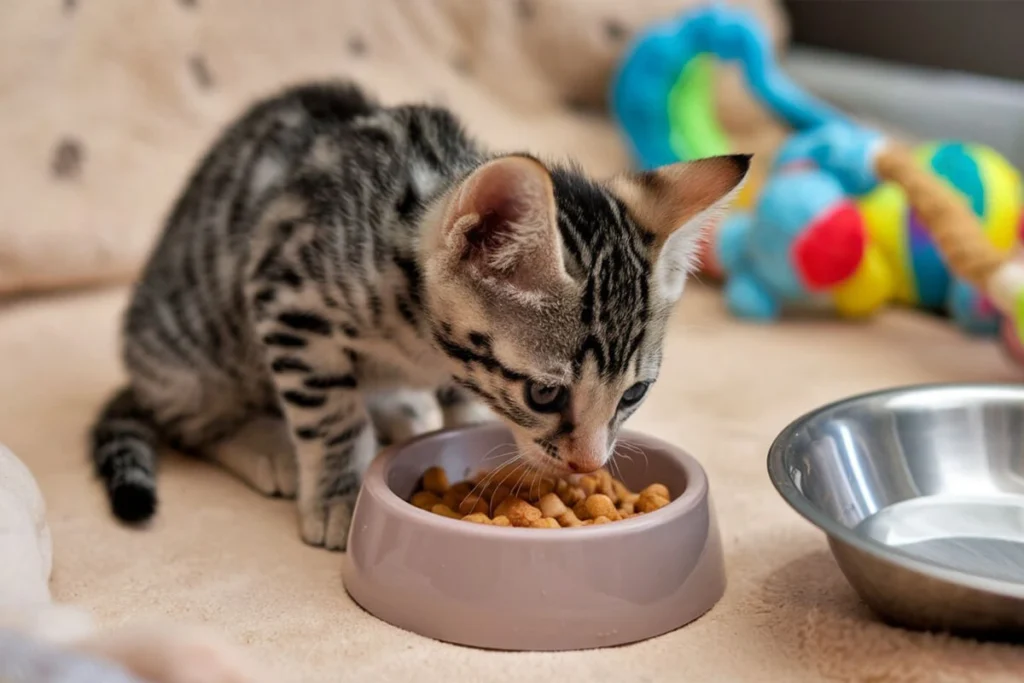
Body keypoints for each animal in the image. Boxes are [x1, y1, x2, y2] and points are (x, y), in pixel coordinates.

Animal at [90, 81, 753, 548]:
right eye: (543, 394)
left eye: (634, 394)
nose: (590, 463)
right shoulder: (286, 295)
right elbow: (330, 417)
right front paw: (338, 495)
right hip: (189, 360)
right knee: (195, 424)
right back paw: (267, 446)